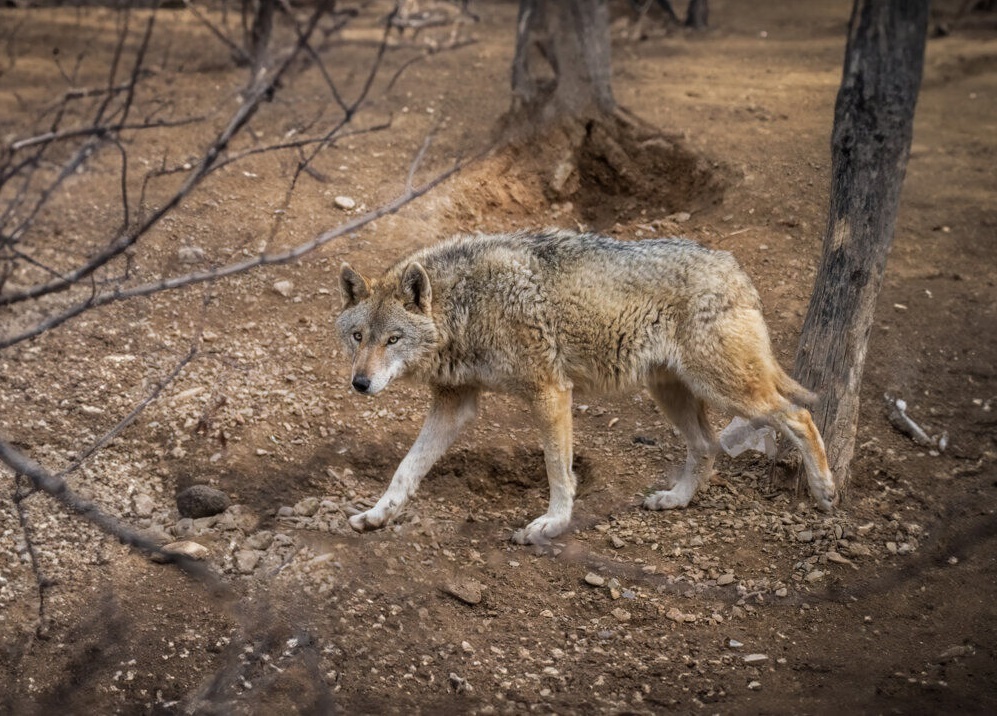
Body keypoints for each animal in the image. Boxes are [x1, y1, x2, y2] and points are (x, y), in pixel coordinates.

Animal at [338, 229, 836, 544]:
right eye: (358, 336)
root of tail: (734, 267)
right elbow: (405, 469)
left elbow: (558, 470)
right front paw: (376, 515)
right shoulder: (453, 405)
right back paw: (676, 499)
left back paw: (825, 491)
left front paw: (552, 524)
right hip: (672, 394)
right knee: (708, 445)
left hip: (727, 390)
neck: (466, 307)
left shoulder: (551, 392)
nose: (360, 383)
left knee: (799, 414)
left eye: (393, 339)